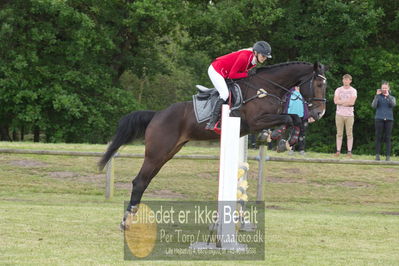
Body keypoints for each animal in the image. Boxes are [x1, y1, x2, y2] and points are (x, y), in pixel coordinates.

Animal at [99, 60, 328, 229]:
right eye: (318, 85)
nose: (319, 113)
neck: (266, 88)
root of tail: (157, 115)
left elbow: (293, 119)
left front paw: (284, 140)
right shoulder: (256, 121)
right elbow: (290, 117)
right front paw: (280, 138)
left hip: (166, 153)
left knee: (145, 181)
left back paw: (130, 217)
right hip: (157, 152)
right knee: (139, 181)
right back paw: (125, 221)